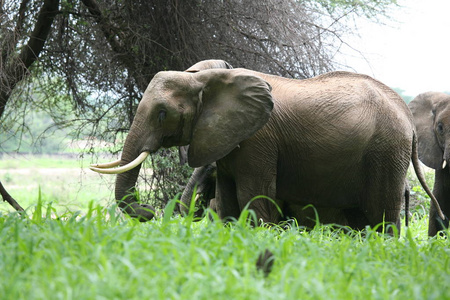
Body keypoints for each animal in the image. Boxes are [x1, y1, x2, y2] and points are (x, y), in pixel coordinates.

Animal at [89, 59, 444, 232]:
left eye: (162, 113)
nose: (148, 211)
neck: (208, 81)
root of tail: (406, 116)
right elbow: (228, 203)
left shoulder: (258, 140)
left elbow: (253, 197)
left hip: (386, 152)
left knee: (381, 218)